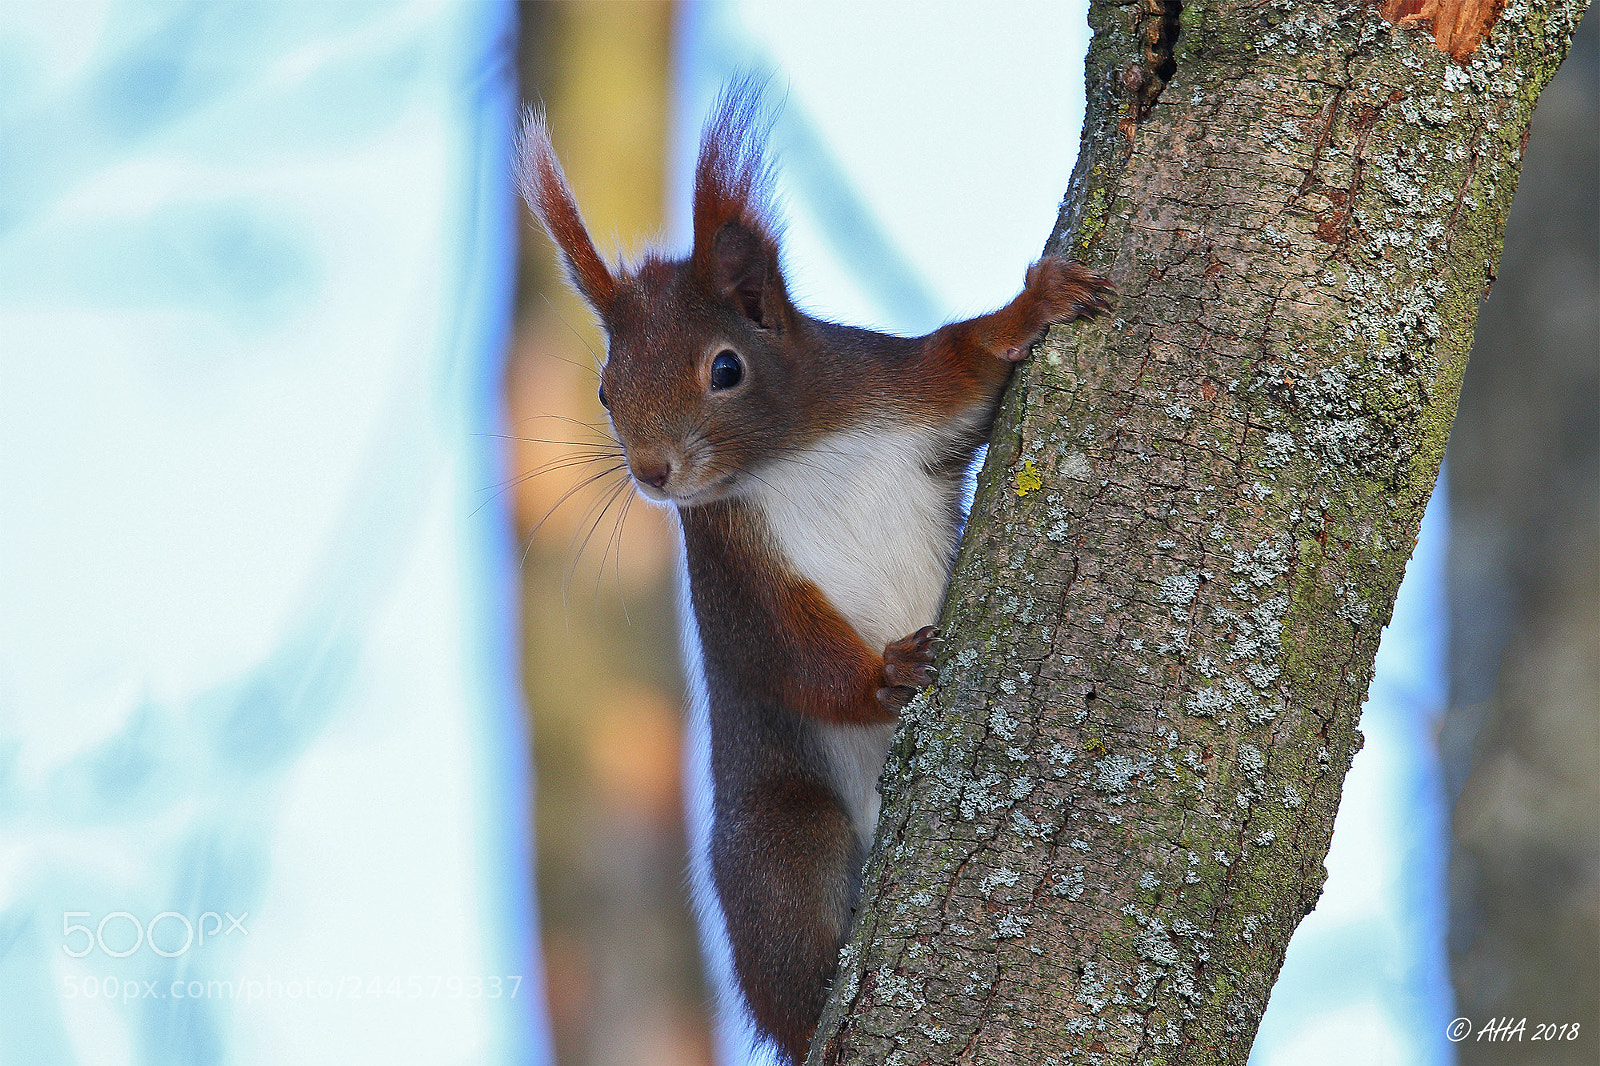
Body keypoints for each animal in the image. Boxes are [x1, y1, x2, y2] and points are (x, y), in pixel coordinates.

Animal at [516, 81, 1113, 1066]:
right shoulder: (732, 563)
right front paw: (889, 673)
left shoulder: (899, 386)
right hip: (783, 844)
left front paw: (1037, 304)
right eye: (605, 388)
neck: (796, 452)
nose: (651, 472)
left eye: (725, 368)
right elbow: (785, 648)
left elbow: (968, 359)